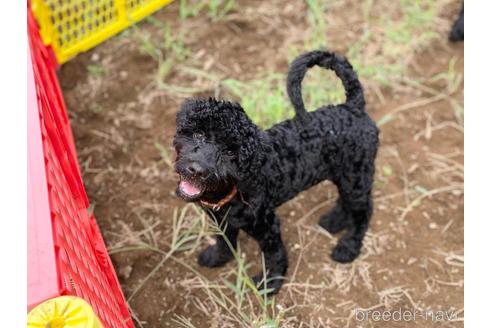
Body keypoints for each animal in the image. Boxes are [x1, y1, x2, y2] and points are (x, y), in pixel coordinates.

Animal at [173, 50, 380, 294]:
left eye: (230, 151)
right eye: (199, 135)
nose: (196, 170)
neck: (235, 188)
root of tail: (353, 108)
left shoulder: (267, 225)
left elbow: (275, 256)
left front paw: (269, 284)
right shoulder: (222, 221)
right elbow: (225, 241)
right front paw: (217, 257)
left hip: (356, 176)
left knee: (364, 211)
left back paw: (348, 247)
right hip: (347, 175)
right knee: (347, 202)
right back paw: (334, 220)